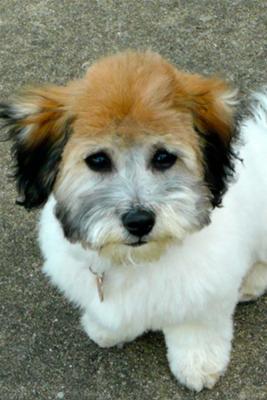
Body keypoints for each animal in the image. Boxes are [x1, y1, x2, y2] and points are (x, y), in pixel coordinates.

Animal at [0, 50, 267, 390]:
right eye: (98, 160)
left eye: (164, 157)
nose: (139, 221)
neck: (136, 260)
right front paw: (106, 330)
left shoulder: (205, 294)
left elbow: (197, 330)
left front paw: (198, 364)